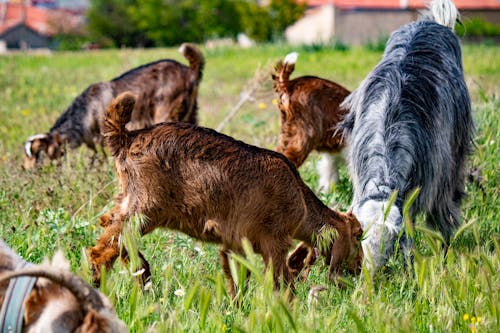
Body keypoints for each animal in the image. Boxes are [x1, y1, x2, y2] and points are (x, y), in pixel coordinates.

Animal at [24, 42, 204, 169]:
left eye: (37, 153)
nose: (27, 170)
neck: (87, 110)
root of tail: (190, 71)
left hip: (166, 111)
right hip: (190, 113)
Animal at [89, 92, 364, 296]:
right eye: (358, 235)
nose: (360, 268)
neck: (300, 199)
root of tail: (128, 136)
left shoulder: (235, 245)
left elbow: (238, 282)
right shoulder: (275, 242)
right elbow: (282, 283)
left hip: (130, 206)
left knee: (117, 241)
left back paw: (140, 277)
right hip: (144, 209)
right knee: (103, 250)